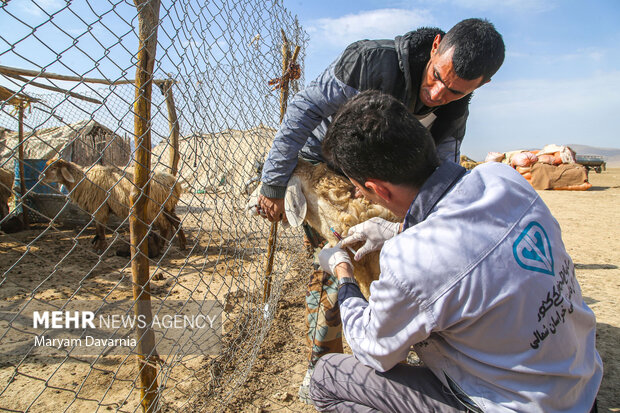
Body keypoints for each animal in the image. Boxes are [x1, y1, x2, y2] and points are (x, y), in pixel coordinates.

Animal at [40, 159, 185, 253]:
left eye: (53, 168)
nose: (40, 177)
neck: (82, 180)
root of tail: (174, 182)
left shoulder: (99, 206)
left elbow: (100, 228)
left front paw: (100, 247)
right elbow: (98, 229)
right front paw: (97, 245)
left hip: (153, 209)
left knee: (165, 226)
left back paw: (161, 248)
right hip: (166, 207)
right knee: (176, 221)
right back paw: (183, 244)